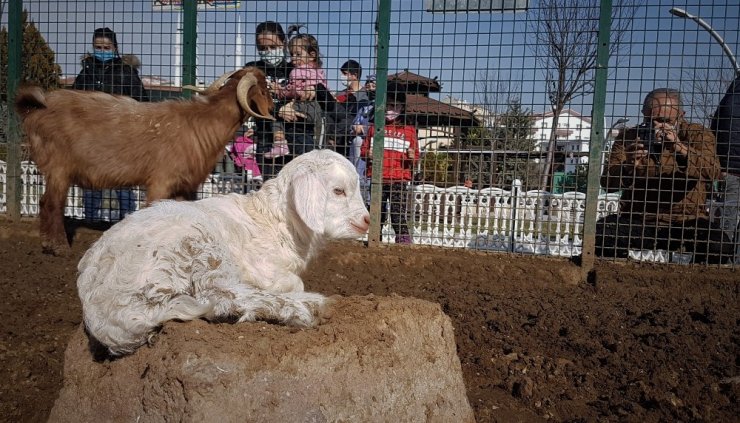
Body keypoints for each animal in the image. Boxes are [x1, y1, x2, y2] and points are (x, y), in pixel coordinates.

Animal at [14, 64, 274, 253]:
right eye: (265, 88)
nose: (273, 107)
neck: (202, 122)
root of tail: (36, 109)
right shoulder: (161, 181)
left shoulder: (184, 186)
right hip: (59, 167)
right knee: (53, 203)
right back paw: (58, 247)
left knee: (44, 202)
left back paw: (47, 243)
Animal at [76, 151, 370, 356]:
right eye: (338, 191)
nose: (367, 221)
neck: (272, 220)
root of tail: (107, 318)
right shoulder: (263, 267)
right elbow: (293, 282)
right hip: (194, 248)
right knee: (221, 296)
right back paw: (304, 307)